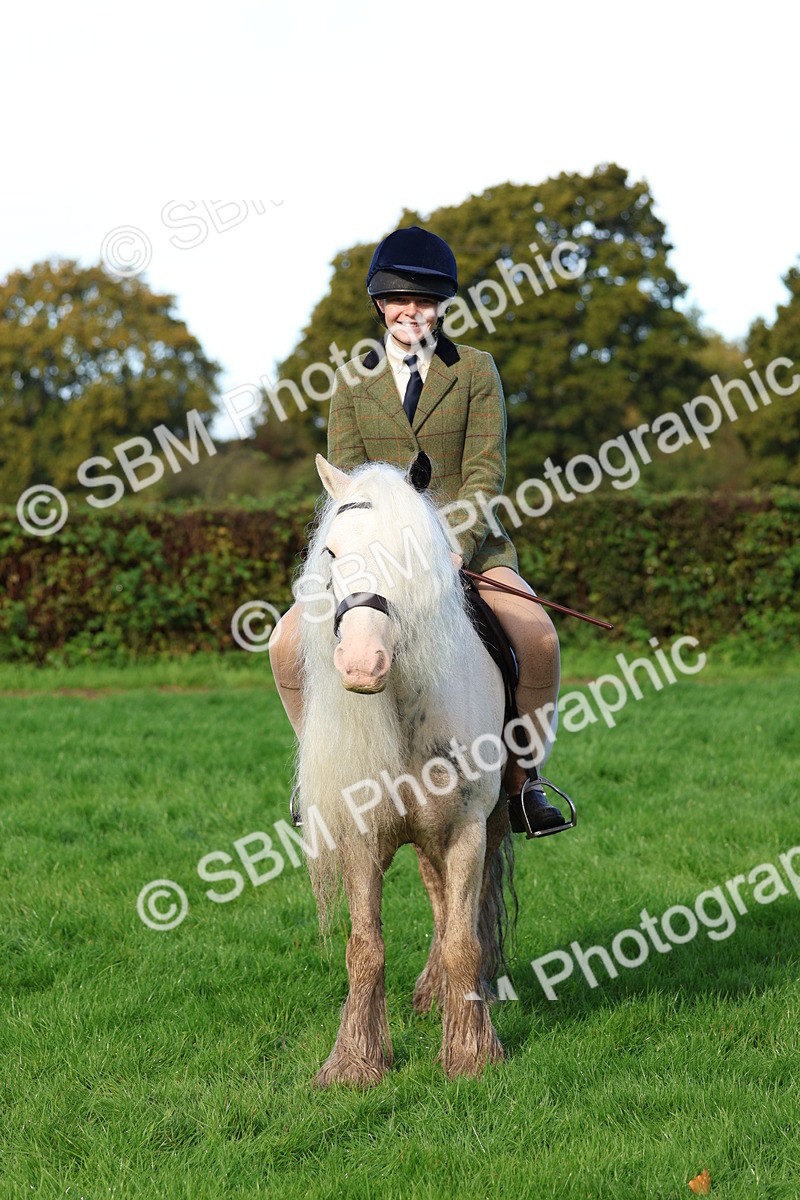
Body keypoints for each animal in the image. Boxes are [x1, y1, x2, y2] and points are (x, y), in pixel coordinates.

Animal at [293, 451, 517, 1086]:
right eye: (331, 552)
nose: (361, 662)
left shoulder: (467, 827)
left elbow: (465, 940)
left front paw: (471, 1055)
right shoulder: (359, 835)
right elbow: (365, 947)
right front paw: (355, 1062)